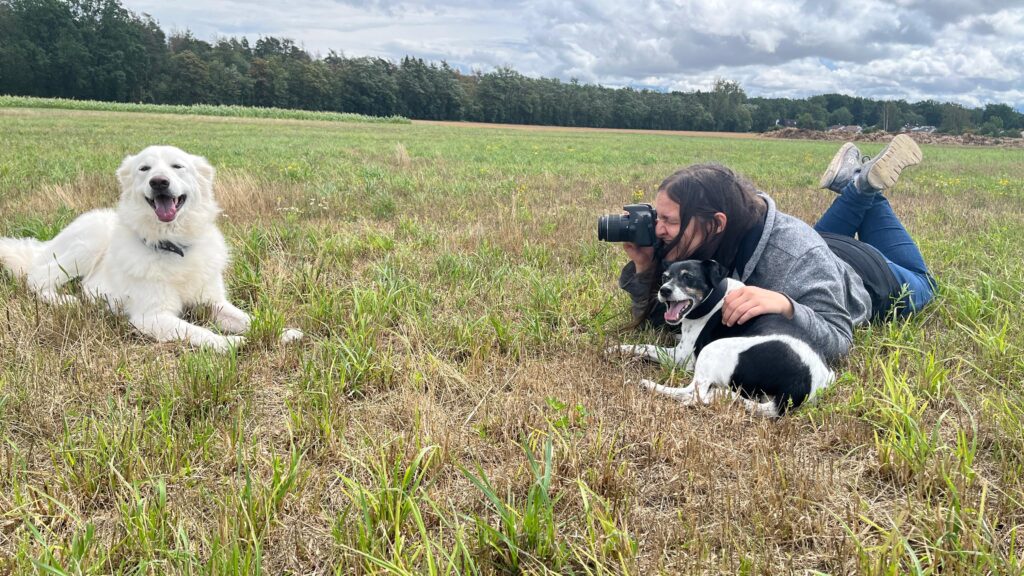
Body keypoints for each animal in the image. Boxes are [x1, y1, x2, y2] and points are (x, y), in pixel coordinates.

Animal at [0, 145, 302, 352]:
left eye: (177, 166)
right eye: (144, 169)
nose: (159, 182)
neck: (173, 246)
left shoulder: (213, 303)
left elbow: (248, 318)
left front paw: (281, 332)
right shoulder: (152, 317)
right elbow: (197, 332)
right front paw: (230, 344)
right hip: (88, 242)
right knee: (37, 278)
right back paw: (68, 301)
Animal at [610, 260, 833, 417]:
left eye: (688, 277)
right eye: (665, 277)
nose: (664, 290)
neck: (716, 296)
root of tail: (803, 384)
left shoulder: (682, 357)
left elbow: (645, 346)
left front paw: (615, 348)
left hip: (713, 349)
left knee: (694, 394)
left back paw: (650, 385)